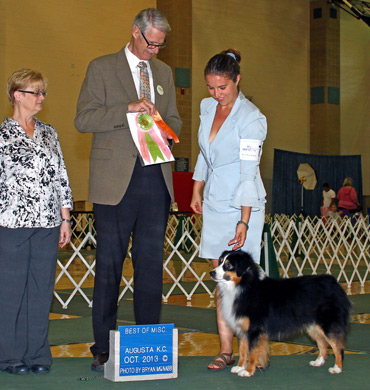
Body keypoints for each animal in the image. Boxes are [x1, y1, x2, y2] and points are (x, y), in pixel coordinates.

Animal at [210, 251, 352, 376]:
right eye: (220, 261)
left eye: (228, 265)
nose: (211, 272)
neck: (244, 286)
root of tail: (333, 282)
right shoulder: (244, 329)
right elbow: (243, 350)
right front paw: (239, 367)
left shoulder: (254, 330)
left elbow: (252, 352)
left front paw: (248, 371)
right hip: (313, 325)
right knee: (322, 343)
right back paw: (319, 362)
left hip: (327, 324)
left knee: (338, 347)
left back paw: (337, 368)